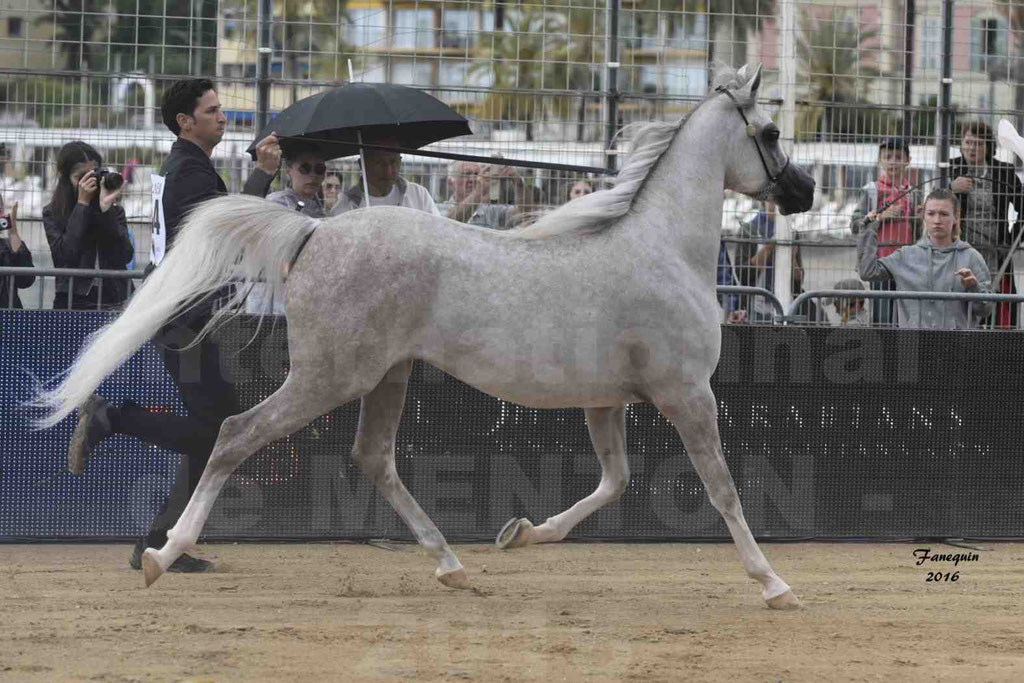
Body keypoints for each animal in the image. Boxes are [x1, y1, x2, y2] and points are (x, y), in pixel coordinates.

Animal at [37, 63, 815, 610]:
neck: (661, 248)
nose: (803, 192)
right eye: (772, 134)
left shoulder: (607, 400)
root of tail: (316, 231)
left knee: (372, 456)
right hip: (330, 376)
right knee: (232, 434)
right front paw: (774, 583)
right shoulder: (686, 394)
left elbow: (613, 483)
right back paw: (163, 555)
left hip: (387, 375)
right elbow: (722, 489)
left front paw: (520, 535)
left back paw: (453, 564)